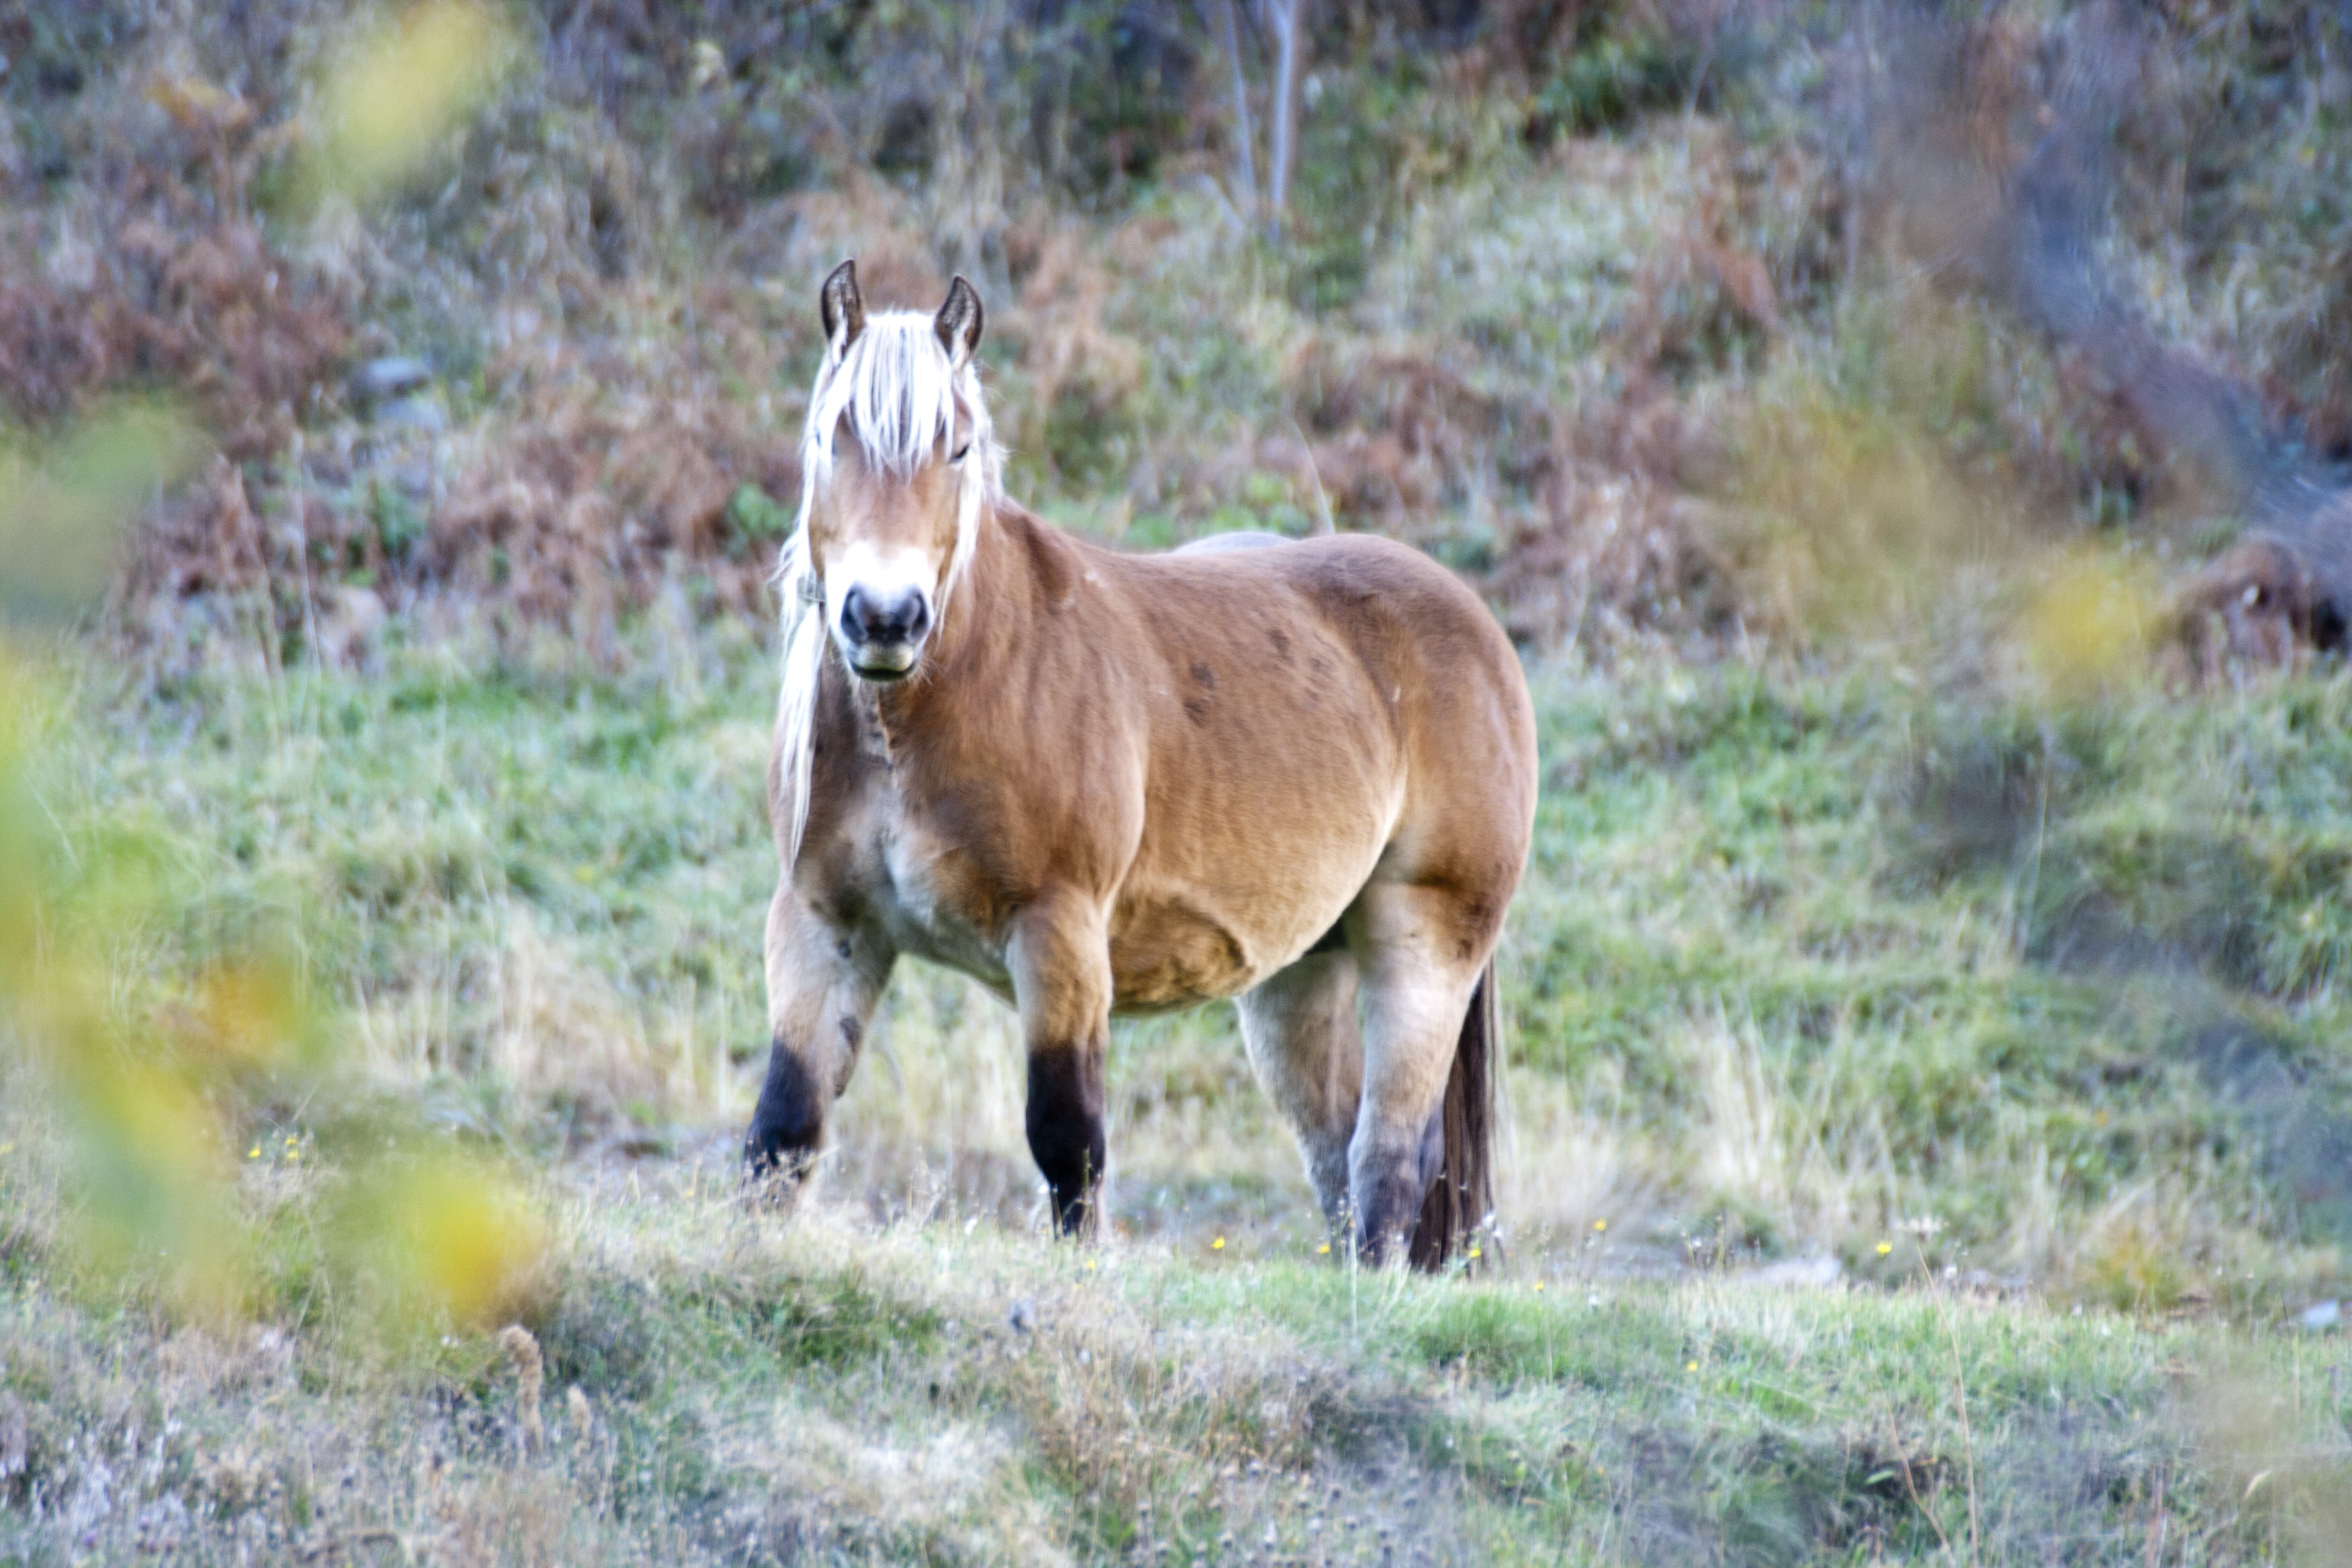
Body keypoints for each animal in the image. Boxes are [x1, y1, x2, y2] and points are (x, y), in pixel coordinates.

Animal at [744, 260, 1537, 1268]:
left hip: (1426, 940)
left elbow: (1066, 1139)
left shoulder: (1059, 933)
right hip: (1303, 976)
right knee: (1337, 1158)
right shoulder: (825, 924)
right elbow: (784, 1132)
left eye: (956, 448)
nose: (885, 618)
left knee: (1390, 1160)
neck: (927, 714)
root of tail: (1478, 625)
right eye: (829, 437)